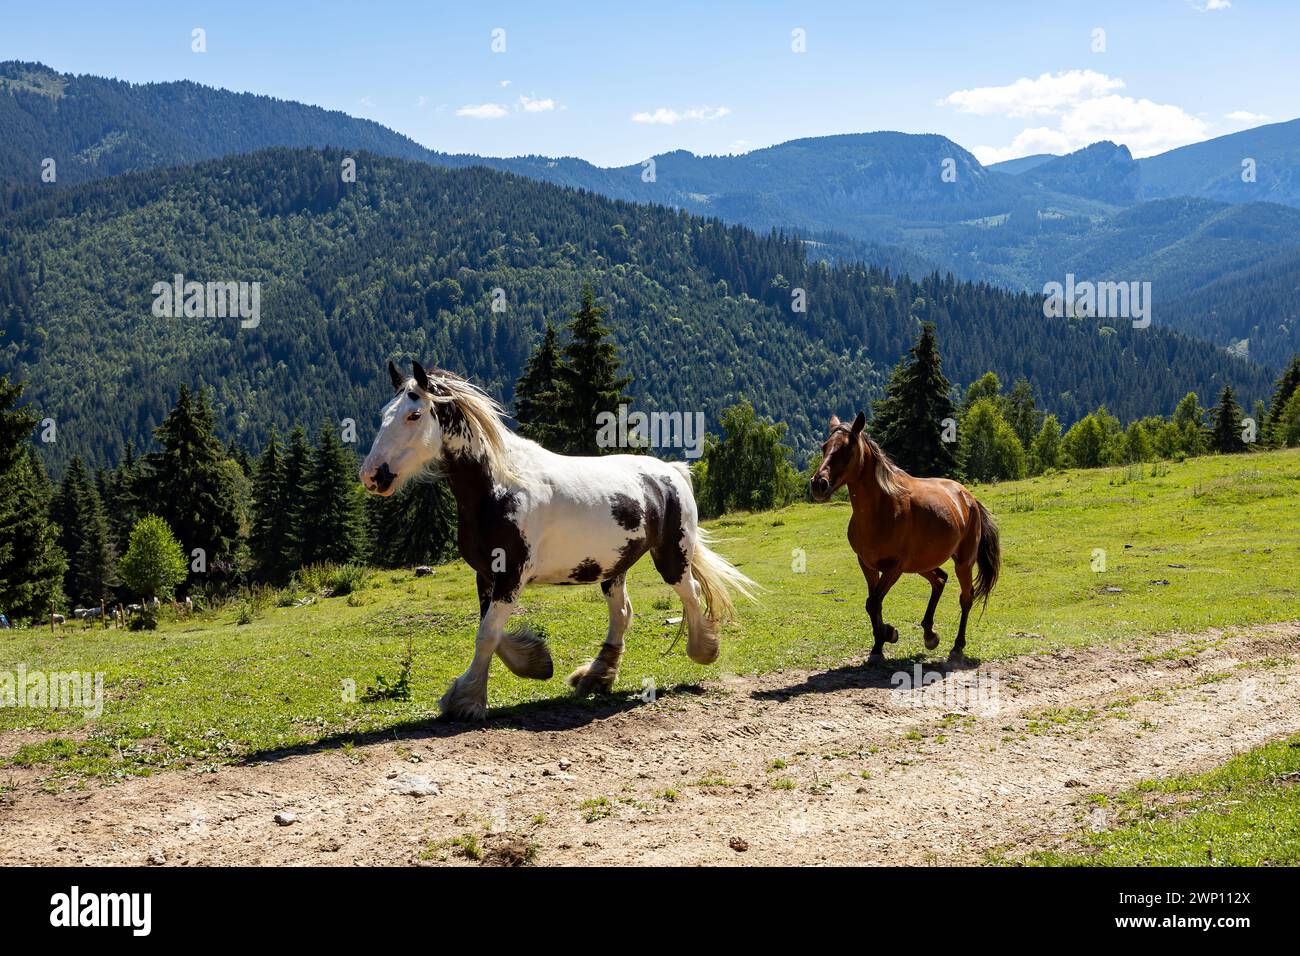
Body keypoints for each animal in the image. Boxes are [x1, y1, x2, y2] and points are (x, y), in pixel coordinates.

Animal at [360, 360, 756, 720]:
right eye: (383, 414)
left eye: (413, 415)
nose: (372, 475)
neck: (501, 485)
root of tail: (671, 472)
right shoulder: (486, 575)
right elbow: (490, 631)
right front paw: (535, 661)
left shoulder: (510, 574)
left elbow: (487, 634)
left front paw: (466, 700)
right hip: (613, 567)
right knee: (623, 613)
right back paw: (596, 677)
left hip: (672, 556)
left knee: (690, 594)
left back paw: (704, 650)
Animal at [810, 412, 1001, 666]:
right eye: (825, 447)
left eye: (847, 448)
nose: (818, 484)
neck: (882, 509)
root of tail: (968, 498)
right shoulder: (867, 565)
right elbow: (874, 604)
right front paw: (878, 646)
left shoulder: (894, 567)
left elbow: (873, 602)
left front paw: (888, 634)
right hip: (922, 564)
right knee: (939, 580)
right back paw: (930, 635)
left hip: (963, 563)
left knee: (965, 598)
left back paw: (957, 648)